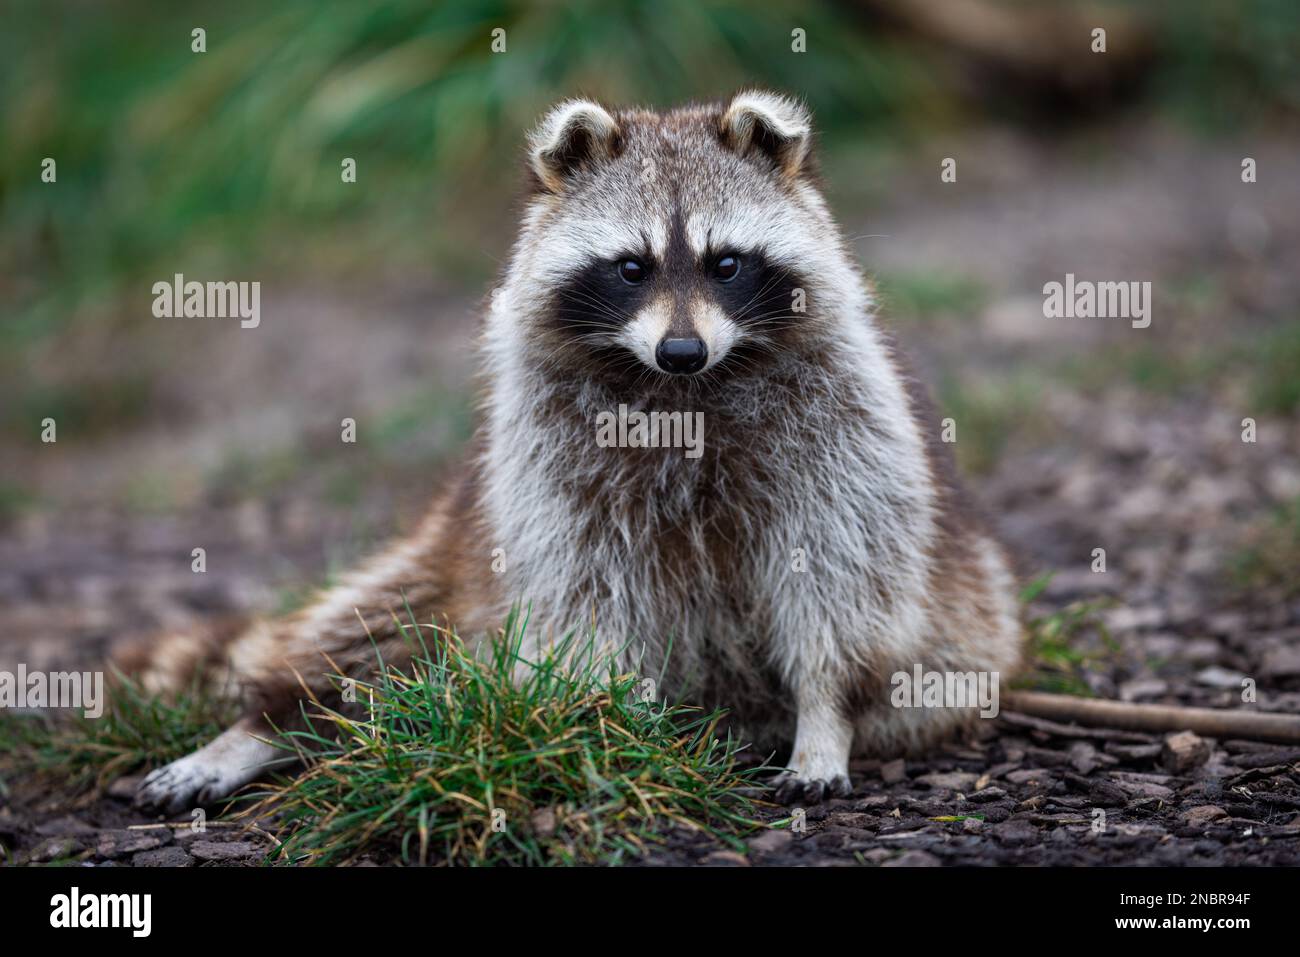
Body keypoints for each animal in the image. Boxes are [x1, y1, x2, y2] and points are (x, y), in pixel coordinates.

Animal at [132, 91, 1023, 813]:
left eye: (726, 263)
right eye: (631, 267)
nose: (681, 350)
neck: (682, 396)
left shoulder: (844, 430)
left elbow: (840, 572)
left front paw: (825, 715)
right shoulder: (547, 453)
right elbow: (581, 583)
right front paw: (607, 719)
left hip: (960, 638)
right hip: (453, 551)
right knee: (366, 630)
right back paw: (268, 723)